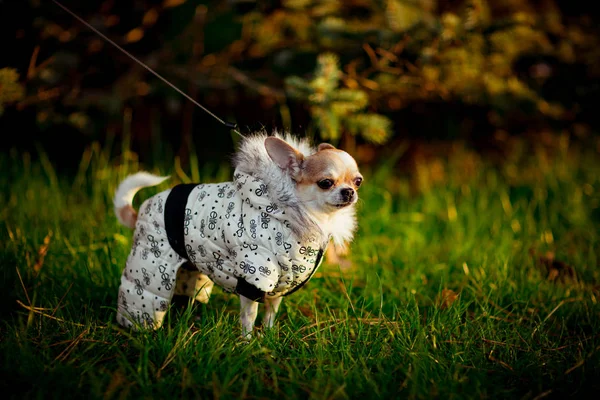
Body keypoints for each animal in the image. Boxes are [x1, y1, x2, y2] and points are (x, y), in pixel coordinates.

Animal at [115, 132, 364, 338]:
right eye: (325, 183)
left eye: (358, 181)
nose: (349, 191)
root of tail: (142, 209)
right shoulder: (254, 278)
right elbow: (249, 316)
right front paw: (247, 342)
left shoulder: (282, 283)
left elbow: (270, 313)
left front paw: (269, 337)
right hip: (153, 261)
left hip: (191, 264)